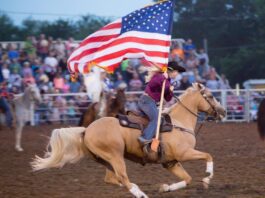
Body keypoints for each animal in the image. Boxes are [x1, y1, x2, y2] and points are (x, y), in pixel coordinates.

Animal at [31, 83, 225, 198]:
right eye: (210, 96)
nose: (223, 112)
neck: (178, 123)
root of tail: (87, 130)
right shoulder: (184, 154)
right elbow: (208, 156)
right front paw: (208, 177)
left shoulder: (171, 162)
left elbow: (188, 178)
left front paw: (166, 188)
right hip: (115, 155)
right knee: (122, 177)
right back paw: (140, 194)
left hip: (107, 160)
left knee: (112, 178)